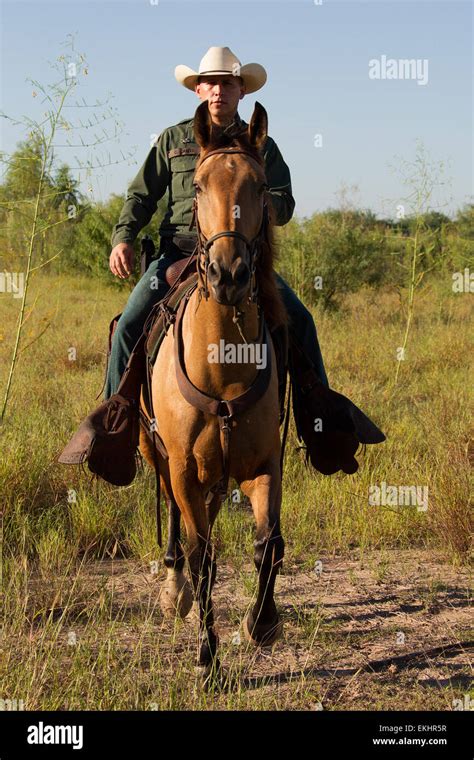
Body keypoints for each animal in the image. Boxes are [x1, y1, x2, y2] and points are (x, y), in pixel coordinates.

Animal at [139, 102, 286, 684]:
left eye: (261, 184)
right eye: (198, 185)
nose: (229, 275)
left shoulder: (264, 463)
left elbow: (267, 545)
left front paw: (261, 624)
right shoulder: (181, 466)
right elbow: (204, 558)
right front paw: (207, 658)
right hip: (158, 455)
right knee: (181, 527)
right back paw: (172, 589)